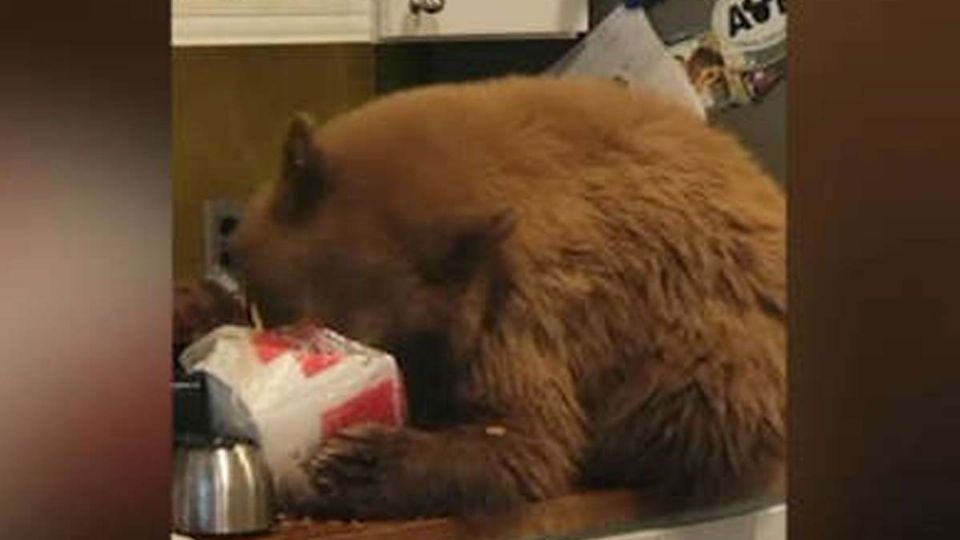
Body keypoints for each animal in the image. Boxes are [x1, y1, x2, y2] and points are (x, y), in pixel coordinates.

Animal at [229, 75, 784, 520]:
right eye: (288, 318)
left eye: (375, 339)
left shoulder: (520, 308)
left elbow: (528, 442)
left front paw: (355, 463)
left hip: (713, 350)